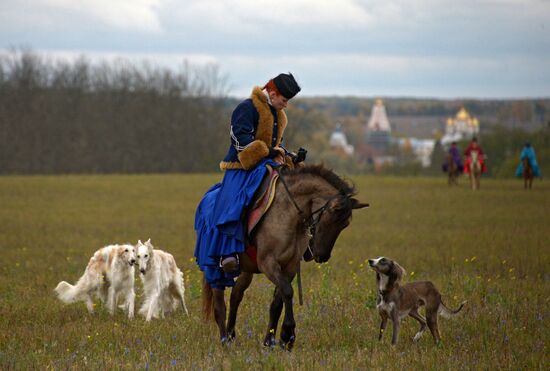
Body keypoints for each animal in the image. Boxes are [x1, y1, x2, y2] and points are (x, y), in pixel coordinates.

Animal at [201, 164, 368, 350]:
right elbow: (287, 291)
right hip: (214, 268)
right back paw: (224, 341)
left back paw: (231, 336)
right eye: (331, 218)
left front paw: (270, 340)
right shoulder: (268, 263)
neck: (287, 214)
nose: (322, 255)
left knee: (236, 295)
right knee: (219, 305)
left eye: (345, 224)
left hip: (246, 269)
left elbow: (277, 301)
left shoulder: (290, 266)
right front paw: (288, 335)